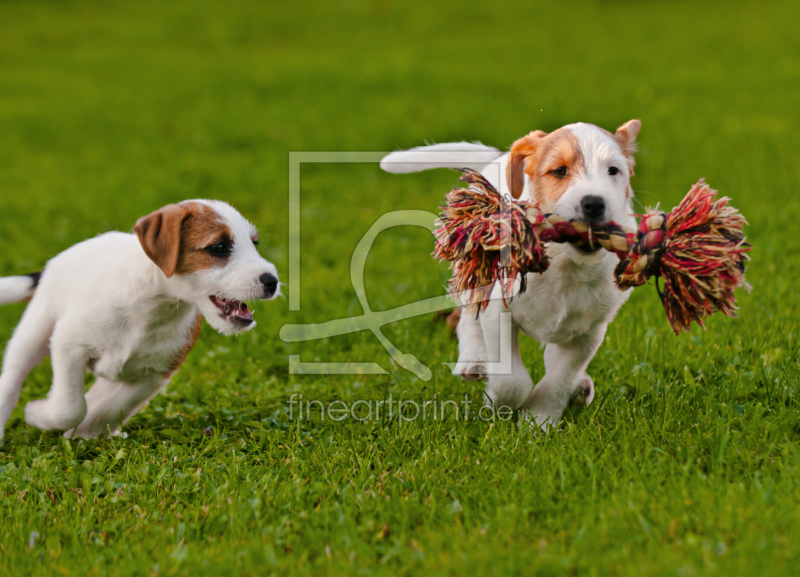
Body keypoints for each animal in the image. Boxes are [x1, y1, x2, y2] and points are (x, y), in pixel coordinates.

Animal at [0, 200, 282, 438]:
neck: (152, 309)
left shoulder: (153, 375)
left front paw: (84, 435)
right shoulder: (68, 344)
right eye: (219, 247)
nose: (272, 281)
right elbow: (69, 407)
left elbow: (109, 409)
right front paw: (37, 413)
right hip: (34, 330)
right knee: (12, 379)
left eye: (254, 243)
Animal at [382, 120, 644, 428]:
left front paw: (539, 421)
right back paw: (474, 360)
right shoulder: (498, 311)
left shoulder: (589, 332)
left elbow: (559, 378)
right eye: (559, 171)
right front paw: (499, 402)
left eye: (613, 170)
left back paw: (580, 387)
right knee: (468, 314)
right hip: (475, 270)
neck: (564, 264)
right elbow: (513, 380)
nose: (594, 203)